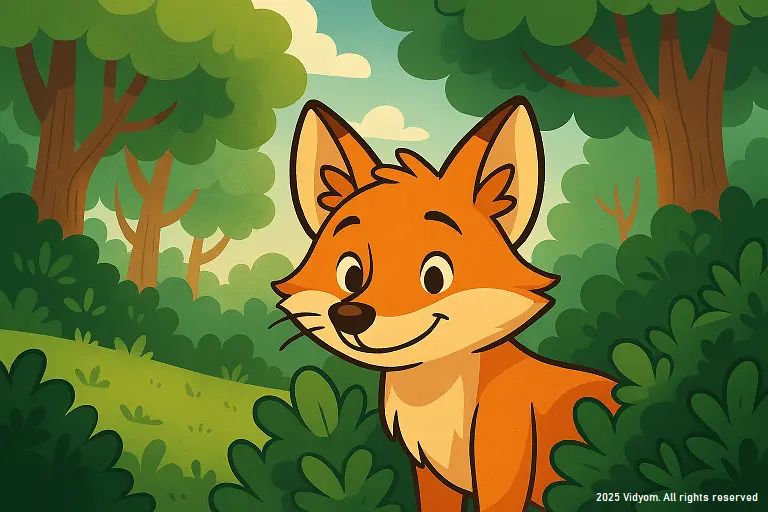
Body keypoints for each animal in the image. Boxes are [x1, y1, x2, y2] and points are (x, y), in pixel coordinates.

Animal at [272, 96, 620, 511]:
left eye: (435, 276)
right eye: (350, 273)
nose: (350, 315)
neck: (436, 400)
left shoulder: (502, 469)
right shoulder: (431, 474)